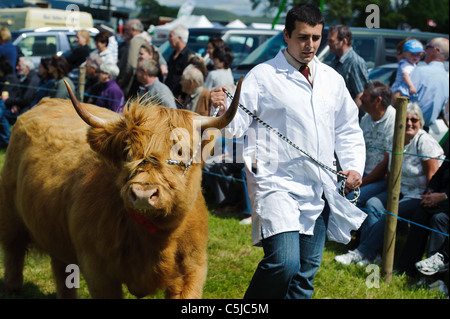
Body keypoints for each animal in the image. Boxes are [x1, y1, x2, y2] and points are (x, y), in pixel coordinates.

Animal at [0, 76, 243, 298]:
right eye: (127, 151)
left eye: (181, 150)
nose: (143, 194)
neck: (157, 238)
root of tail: (47, 101)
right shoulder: (98, 272)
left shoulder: (191, 270)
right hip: (10, 213)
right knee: (13, 250)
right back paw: (12, 288)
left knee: (61, 269)